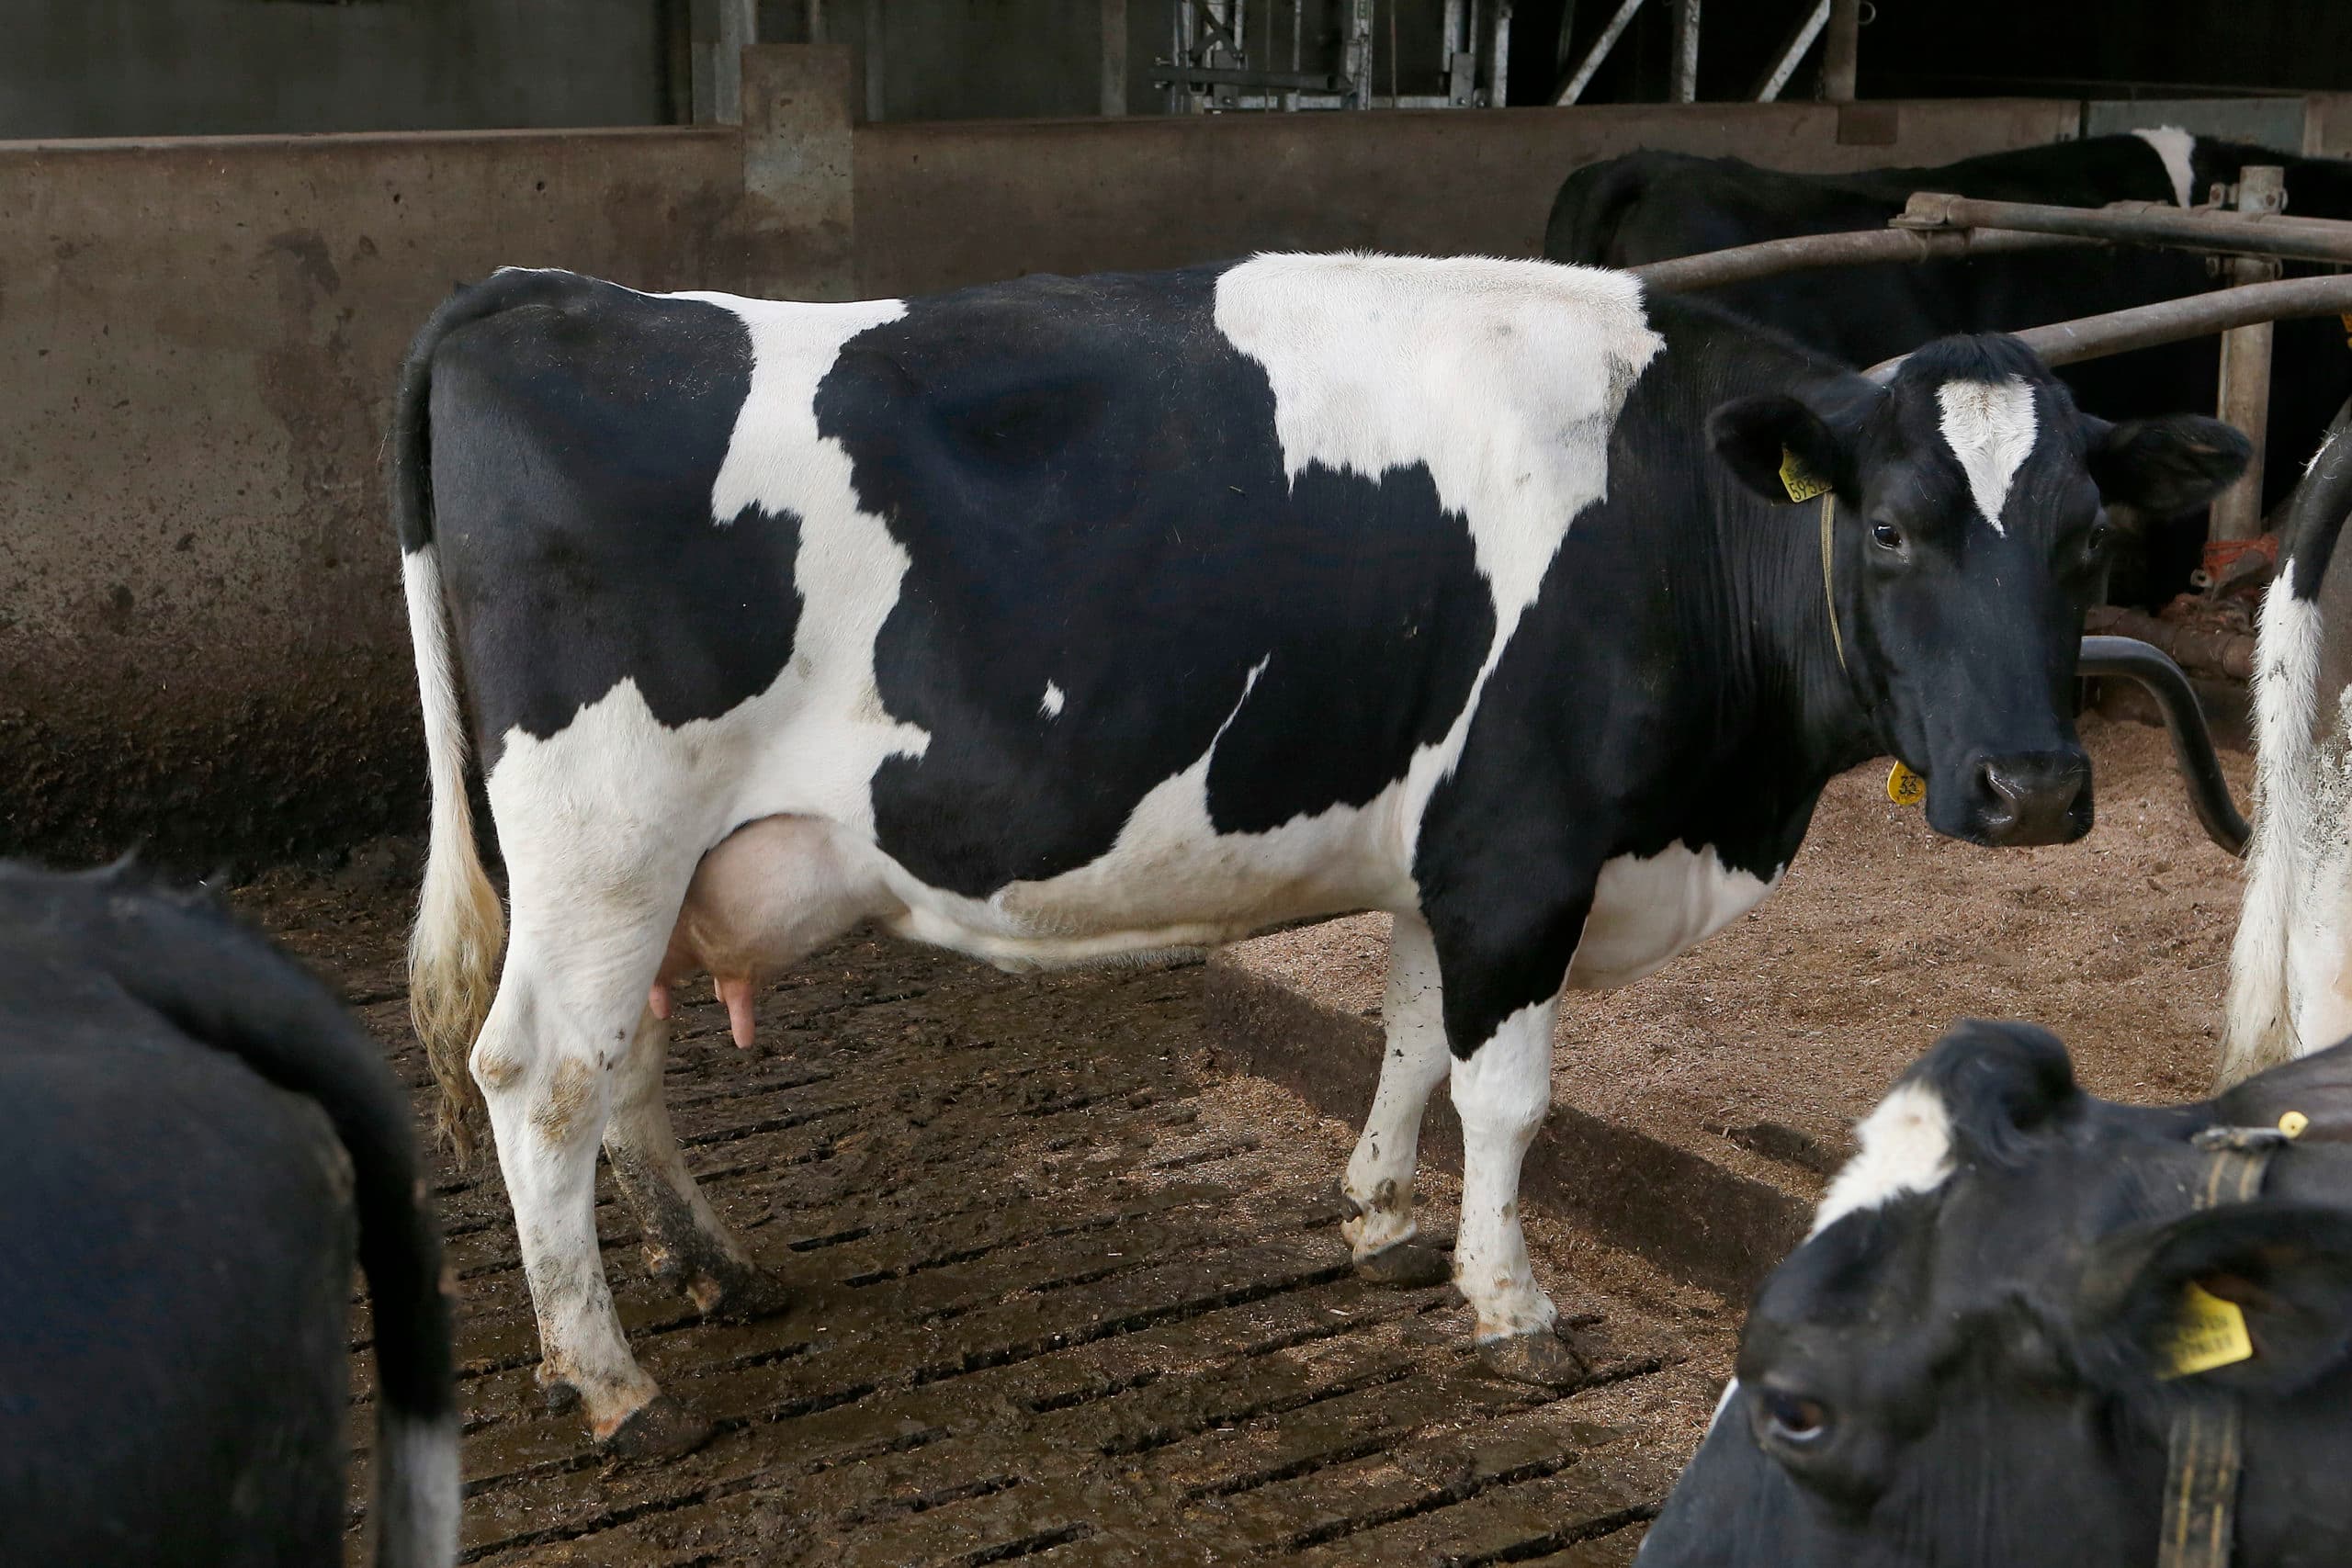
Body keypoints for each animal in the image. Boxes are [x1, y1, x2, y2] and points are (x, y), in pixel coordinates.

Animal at [392, 255, 2247, 1458]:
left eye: (2087, 538)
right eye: (1893, 527)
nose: (2033, 784)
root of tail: (533, 293)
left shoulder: (1457, 845)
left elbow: (1413, 1030)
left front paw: (1377, 1214)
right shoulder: (1526, 844)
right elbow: (1508, 1090)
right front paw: (1511, 1302)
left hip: (640, 866)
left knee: (622, 1056)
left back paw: (712, 1271)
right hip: (609, 825)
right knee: (539, 1071)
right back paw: (606, 1377)